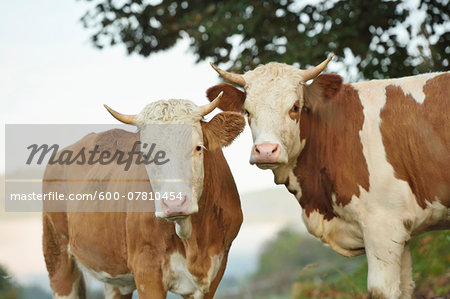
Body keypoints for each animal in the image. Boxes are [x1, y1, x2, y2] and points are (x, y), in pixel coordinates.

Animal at [43, 94, 246, 299]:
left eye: (198, 148)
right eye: (147, 155)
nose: (174, 204)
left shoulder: (214, 273)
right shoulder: (146, 270)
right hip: (57, 257)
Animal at [208, 58, 450, 299]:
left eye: (295, 107)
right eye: (247, 111)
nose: (266, 151)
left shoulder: (382, 224)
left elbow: (382, 290)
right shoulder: (401, 230)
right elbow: (405, 287)